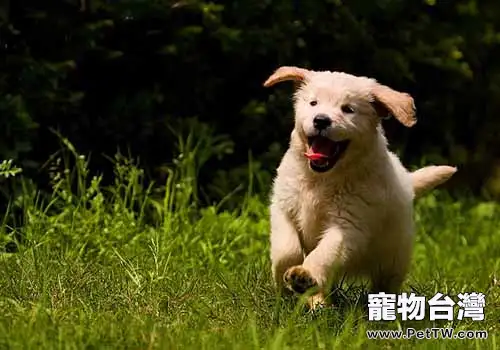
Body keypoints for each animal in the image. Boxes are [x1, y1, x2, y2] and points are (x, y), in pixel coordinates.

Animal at [264, 66, 456, 308]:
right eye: (313, 103)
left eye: (348, 109)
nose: (321, 120)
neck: (320, 179)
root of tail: (407, 180)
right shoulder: (283, 208)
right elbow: (286, 249)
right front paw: (285, 284)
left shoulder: (349, 225)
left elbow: (323, 253)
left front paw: (304, 275)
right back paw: (318, 301)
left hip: (394, 258)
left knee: (386, 283)